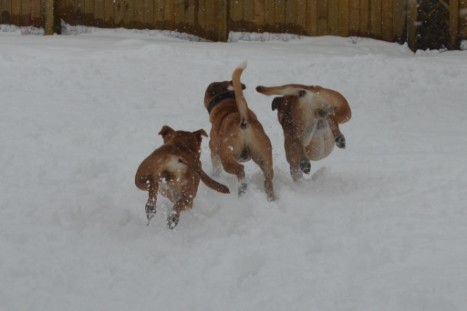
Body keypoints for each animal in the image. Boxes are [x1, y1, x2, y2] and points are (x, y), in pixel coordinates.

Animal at [203, 62, 276, 201]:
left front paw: (214, 175)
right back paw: (270, 198)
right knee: (268, 179)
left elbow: (215, 166)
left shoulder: (214, 148)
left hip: (226, 156)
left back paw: (242, 188)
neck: (228, 102)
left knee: (240, 170)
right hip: (264, 157)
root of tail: (244, 122)